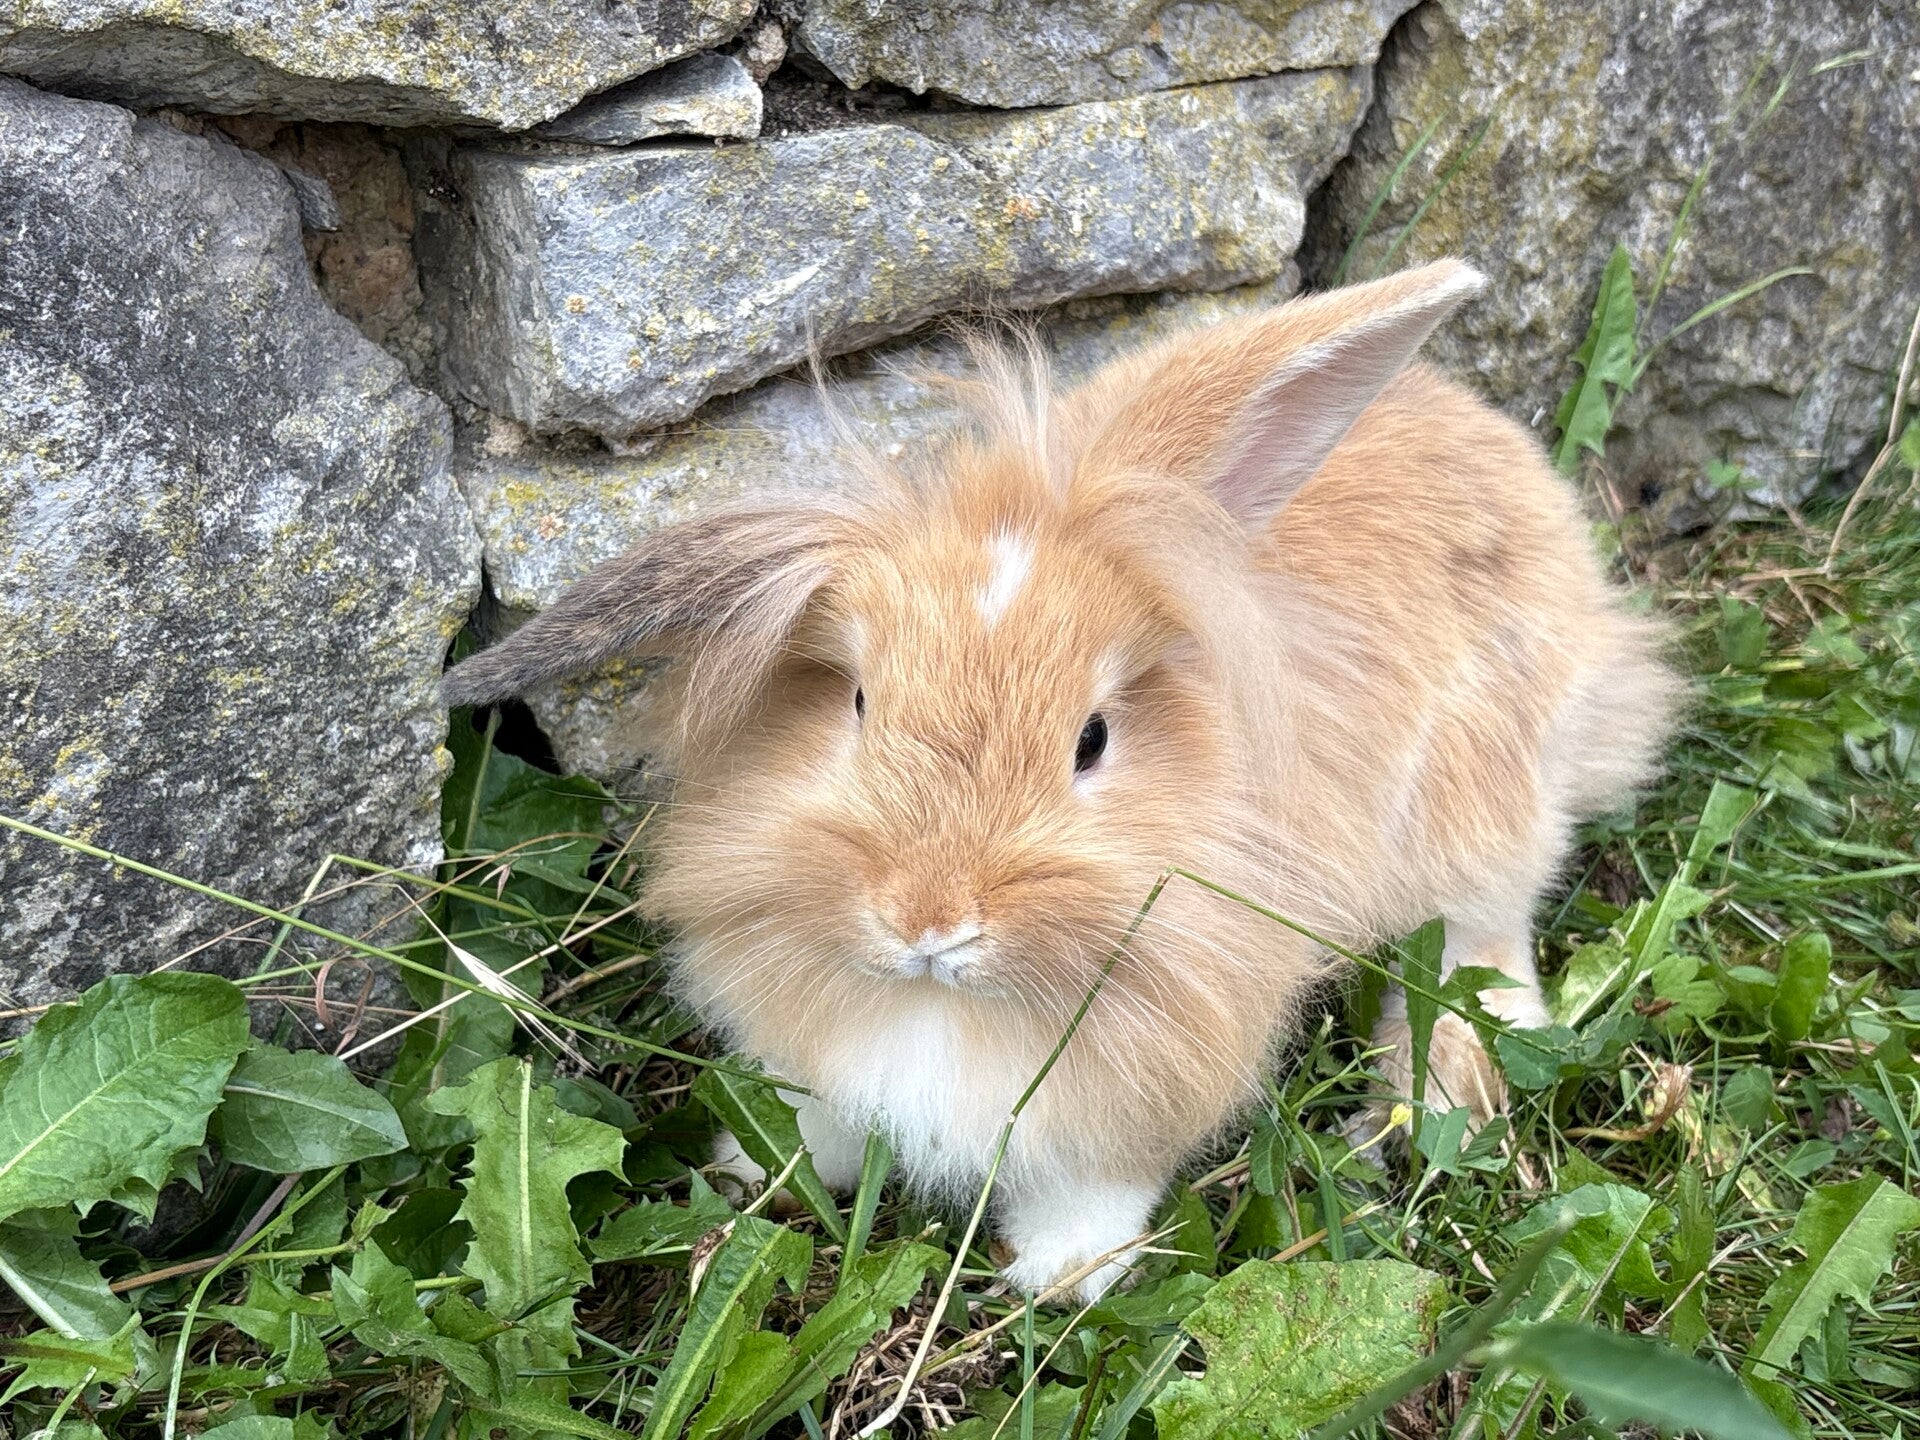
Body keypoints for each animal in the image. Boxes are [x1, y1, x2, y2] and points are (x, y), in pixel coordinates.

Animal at [442, 260, 1678, 1303]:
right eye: (856, 703)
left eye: (1092, 741)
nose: (928, 921)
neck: (943, 1010)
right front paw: (759, 1176)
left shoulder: (1146, 1075)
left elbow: (1094, 1185)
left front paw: (1065, 1281)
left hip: (1486, 803)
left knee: (1482, 940)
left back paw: (1443, 1101)